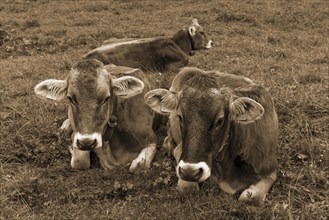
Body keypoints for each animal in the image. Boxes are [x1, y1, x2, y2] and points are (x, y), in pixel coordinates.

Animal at [145, 67, 278, 205]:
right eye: (180, 116)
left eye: (219, 120)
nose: (190, 172)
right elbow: (187, 188)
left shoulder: (270, 169)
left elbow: (250, 199)